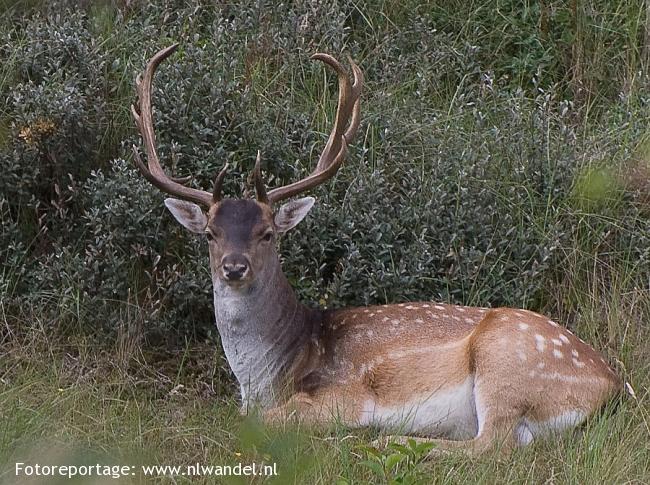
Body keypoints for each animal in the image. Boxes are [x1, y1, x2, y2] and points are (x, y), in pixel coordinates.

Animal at [130, 45, 616, 454]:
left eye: (267, 232)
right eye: (211, 233)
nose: (234, 267)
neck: (270, 374)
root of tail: (613, 386)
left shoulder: (343, 395)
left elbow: (263, 422)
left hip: (507, 362)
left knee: (492, 446)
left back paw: (386, 442)